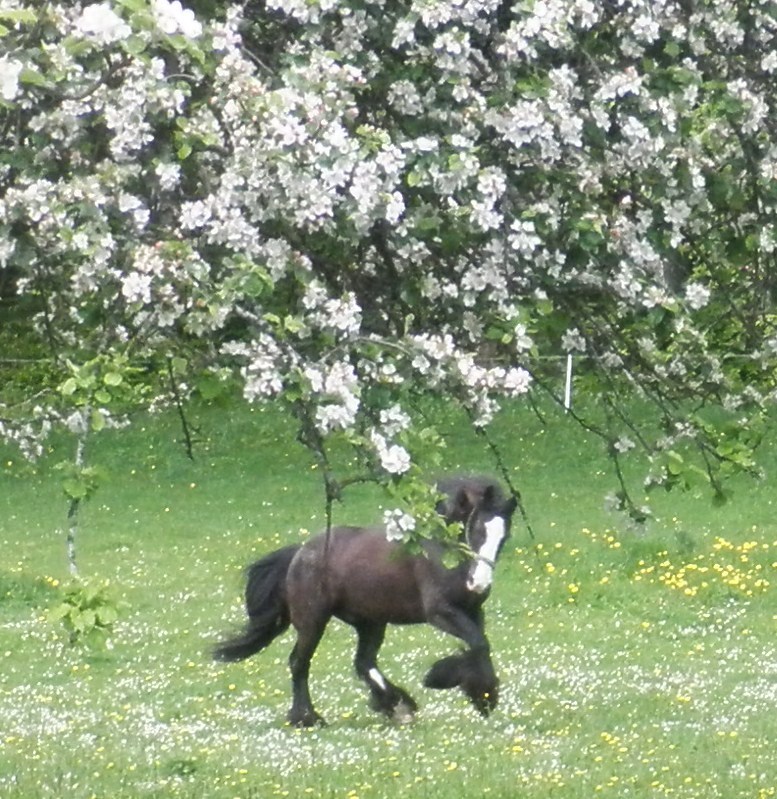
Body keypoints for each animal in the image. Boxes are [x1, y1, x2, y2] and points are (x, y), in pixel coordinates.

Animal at [214, 478, 516, 728]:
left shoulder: (473, 611)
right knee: (299, 663)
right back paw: (308, 718)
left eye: (504, 536)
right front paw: (443, 680)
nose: (479, 582)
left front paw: (483, 694)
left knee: (363, 663)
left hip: (370, 622)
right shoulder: (441, 612)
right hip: (313, 621)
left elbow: (480, 646)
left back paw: (397, 705)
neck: (441, 553)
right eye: (476, 530)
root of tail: (301, 552)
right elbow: (478, 644)